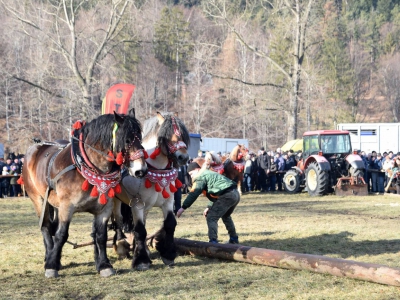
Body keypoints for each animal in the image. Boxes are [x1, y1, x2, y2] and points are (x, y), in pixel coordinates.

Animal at [22, 110, 147, 278]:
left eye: (140, 138)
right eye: (127, 140)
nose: (141, 170)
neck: (86, 167)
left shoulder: (104, 209)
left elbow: (100, 236)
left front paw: (104, 265)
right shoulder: (67, 207)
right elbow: (62, 235)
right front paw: (51, 267)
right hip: (38, 199)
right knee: (46, 227)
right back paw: (50, 258)